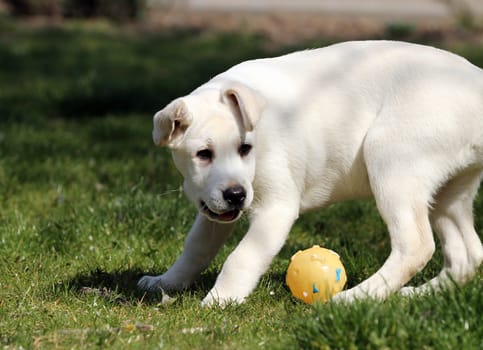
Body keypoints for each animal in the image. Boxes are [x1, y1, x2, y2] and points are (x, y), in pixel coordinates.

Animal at [139, 39, 483, 304]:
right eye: (203, 155)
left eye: (244, 148)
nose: (236, 195)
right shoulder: (214, 209)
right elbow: (195, 248)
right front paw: (166, 282)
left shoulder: (277, 208)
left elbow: (242, 257)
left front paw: (221, 299)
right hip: (449, 192)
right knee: (467, 254)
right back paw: (420, 293)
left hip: (392, 160)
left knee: (416, 246)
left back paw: (355, 298)